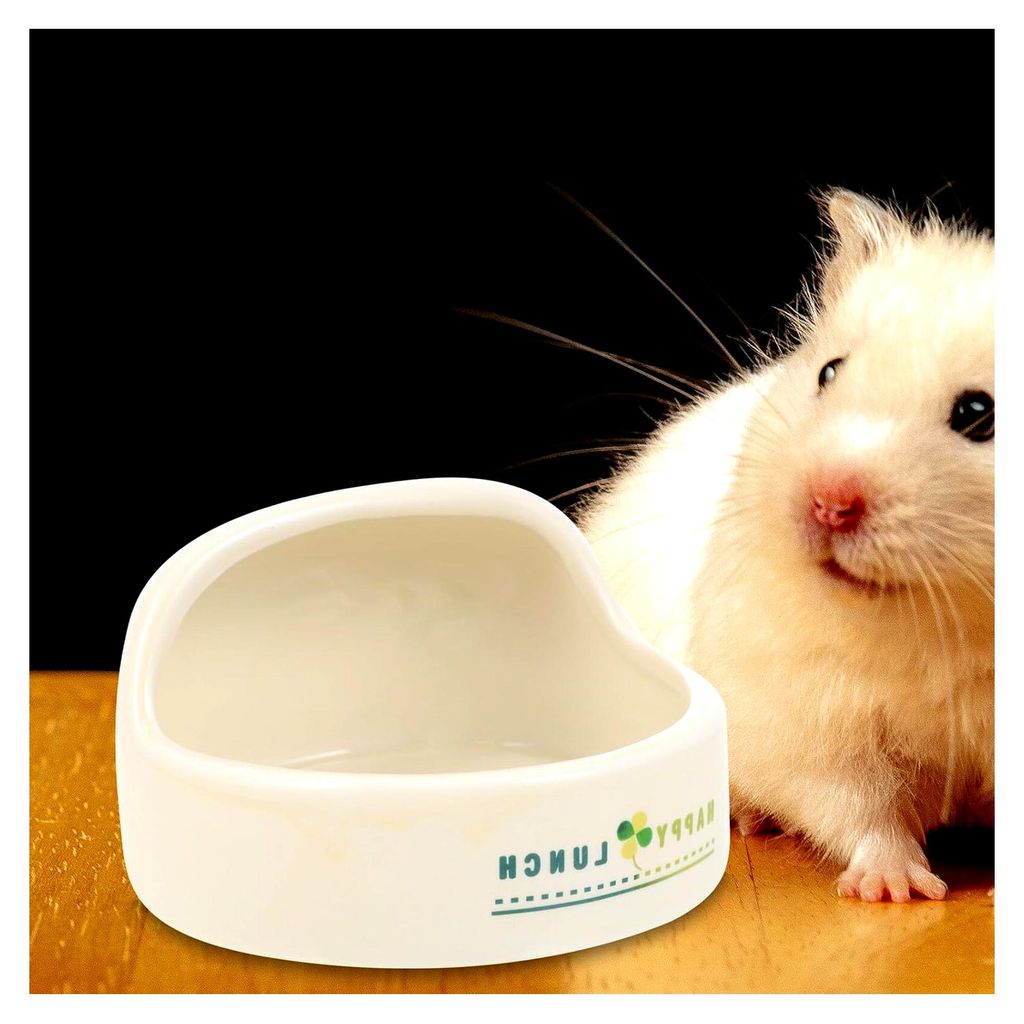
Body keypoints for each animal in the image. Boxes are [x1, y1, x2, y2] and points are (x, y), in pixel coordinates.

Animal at [577, 190, 994, 902]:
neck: (937, 622)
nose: (826, 503)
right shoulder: (800, 713)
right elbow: (857, 804)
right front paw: (899, 890)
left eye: (979, 415)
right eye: (829, 372)